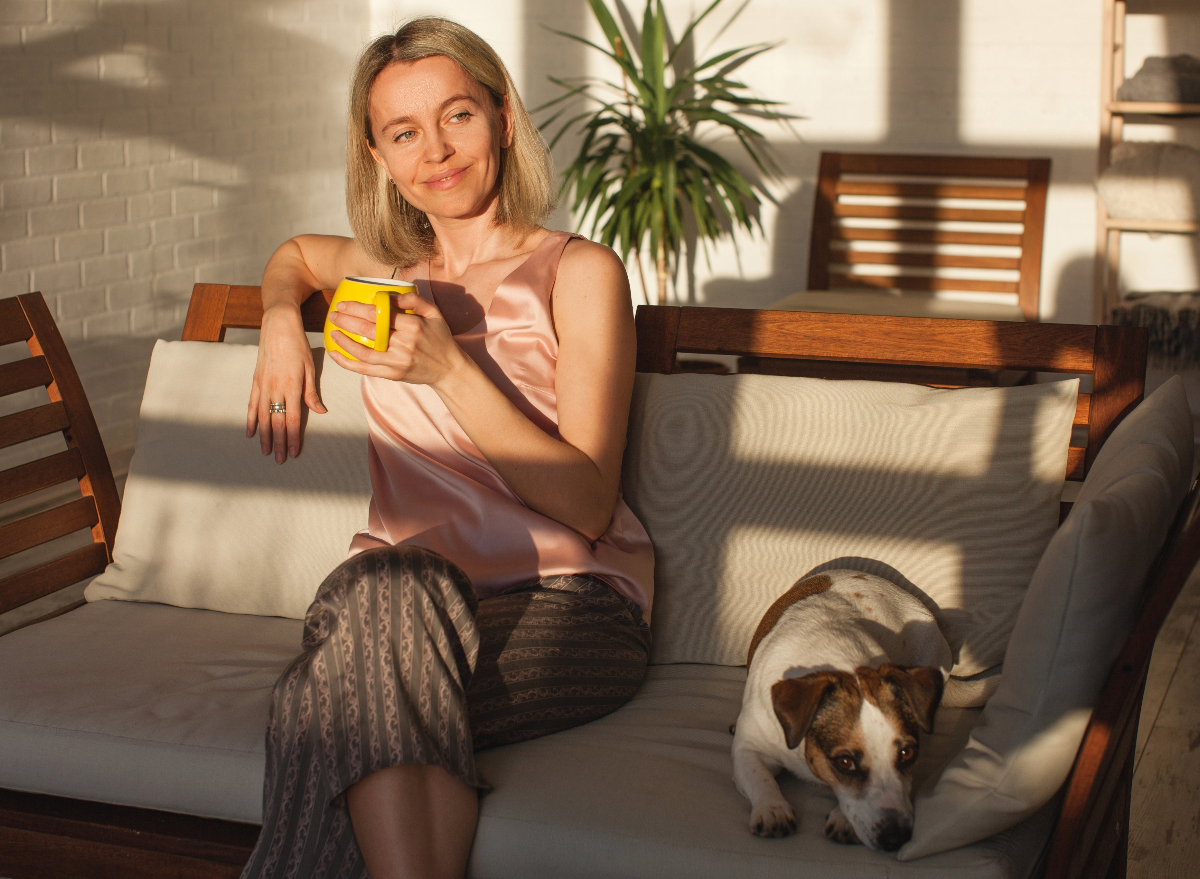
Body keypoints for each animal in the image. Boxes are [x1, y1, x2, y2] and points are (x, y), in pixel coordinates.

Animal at [729, 569, 945, 850]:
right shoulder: (748, 750)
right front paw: (772, 809)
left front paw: (843, 819)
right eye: (845, 762)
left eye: (907, 753)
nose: (895, 838)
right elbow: (760, 777)